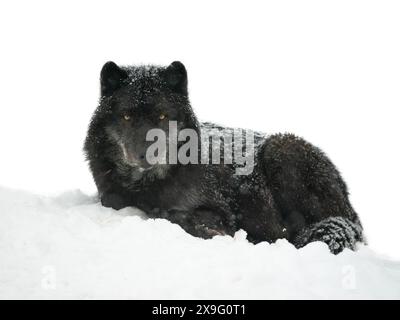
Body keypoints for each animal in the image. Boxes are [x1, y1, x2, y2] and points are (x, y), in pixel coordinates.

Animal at [83, 61, 362, 254]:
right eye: (126, 116)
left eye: (162, 116)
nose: (146, 154)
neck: (148, 183)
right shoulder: (109, 191)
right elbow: (113, 199)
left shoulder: (223, 210)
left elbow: (176, 214)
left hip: (281, 148)